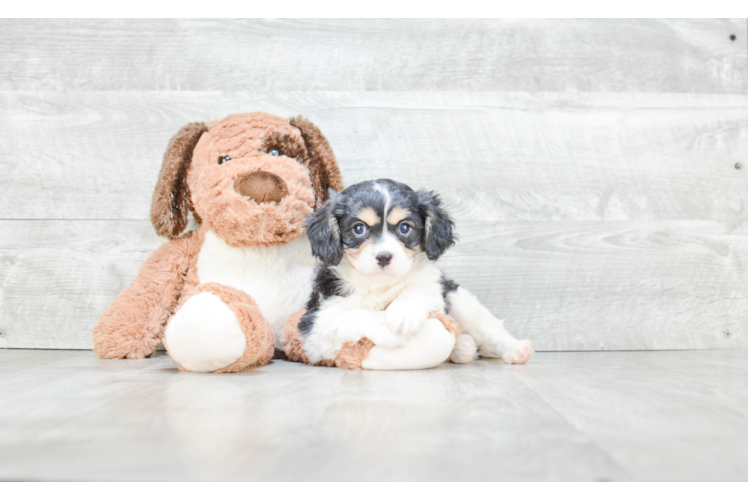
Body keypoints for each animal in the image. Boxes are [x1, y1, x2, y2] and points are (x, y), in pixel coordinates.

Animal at [296, 178, 536, 366]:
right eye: (359, 228)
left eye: (404, 228)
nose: (384, 257)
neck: (380, 284)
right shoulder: (315, 328)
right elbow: (352, 315)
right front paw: (386, 328)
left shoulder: (434, 288)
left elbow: (417, 289)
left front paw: (404, 312)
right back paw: (464, 348)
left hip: (460, 299)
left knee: (490, 330)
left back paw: (516, 350)